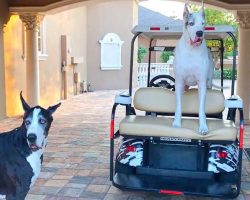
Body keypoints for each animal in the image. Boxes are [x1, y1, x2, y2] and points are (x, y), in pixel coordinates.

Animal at [173, 3, 214, 134]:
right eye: (191, 23)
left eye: (203, 23)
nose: (200, 33)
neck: (191, 50)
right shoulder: (179, 82)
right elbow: (179, 105)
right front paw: (176, 123)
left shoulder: (202, 83)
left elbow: (201, 108)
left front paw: (203, 126)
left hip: (209, 81)